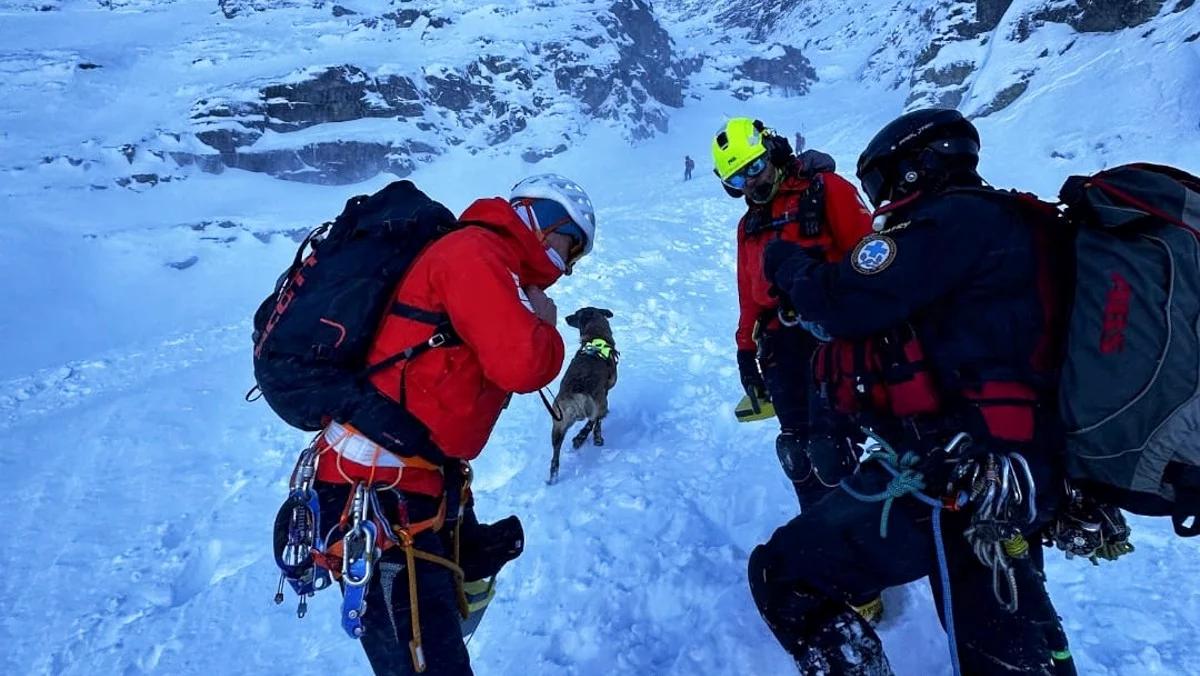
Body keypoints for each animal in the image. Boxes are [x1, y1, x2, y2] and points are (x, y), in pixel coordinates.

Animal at [547, 307, 619, 487]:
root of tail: (576, 394)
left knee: (554, 459)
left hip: (557, 427)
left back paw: (553, 479)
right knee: (592, 422)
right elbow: (596, 424)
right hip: (600, 404)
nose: (566, 317)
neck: (596, 335)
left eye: (576, 314)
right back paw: (582, 439)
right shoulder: (605, 391)